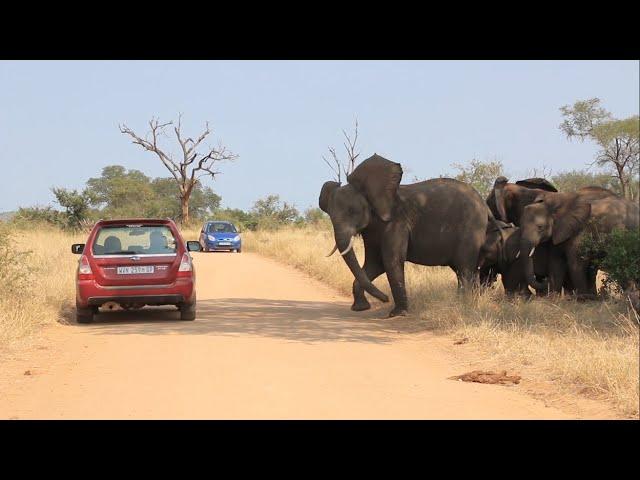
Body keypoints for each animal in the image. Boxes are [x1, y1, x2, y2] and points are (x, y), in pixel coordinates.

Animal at [318, 154, 496, 316]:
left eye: (352, 211)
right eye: (330, 215)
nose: (385, 299)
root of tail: (484, 204)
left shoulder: (397, 223)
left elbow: (391, 261)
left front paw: (397, 314)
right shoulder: (373, 230)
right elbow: (374, 264)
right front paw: (360, 308)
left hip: (471, 228)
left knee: (465, 269)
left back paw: (463, 306)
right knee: (465, 271)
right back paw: (468, 304)